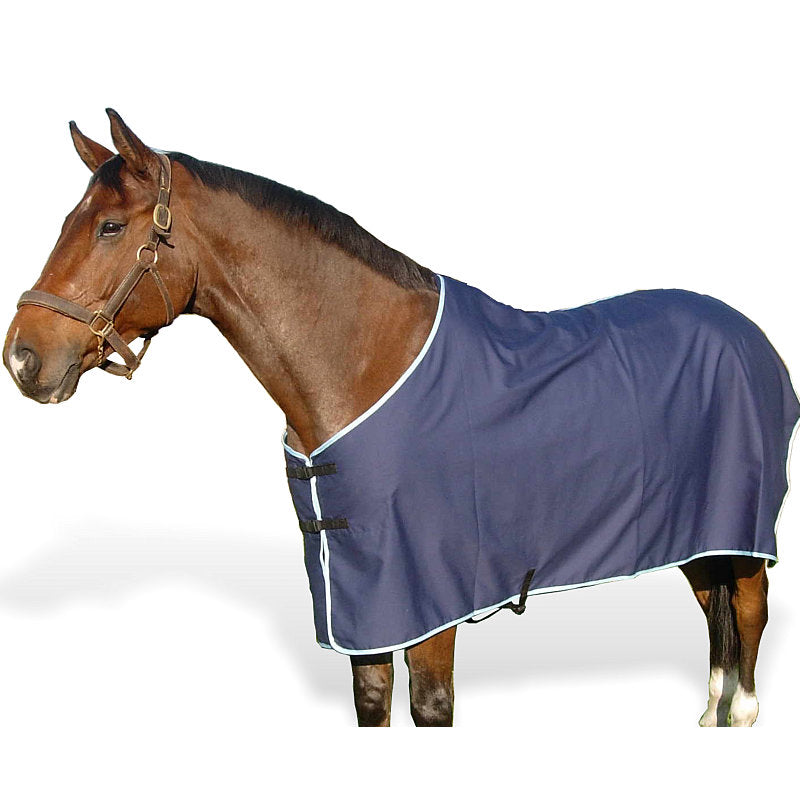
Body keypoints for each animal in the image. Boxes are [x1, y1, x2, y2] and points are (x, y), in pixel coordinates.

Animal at [4, 110, 797, 727]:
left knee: (747, 609)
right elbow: (373, 702)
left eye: (111, 226)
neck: (363, 364)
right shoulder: (364, 607)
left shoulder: (430, 605)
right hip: (696, 533)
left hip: (738, 523)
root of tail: (752, 336)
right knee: (716, 609)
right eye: (70, 221)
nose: (23, 358)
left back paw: (741, 713)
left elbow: (431, 706)